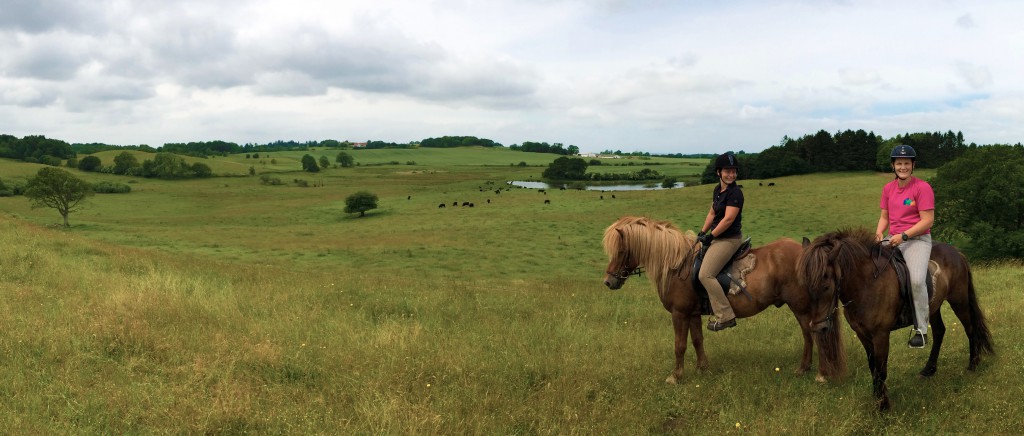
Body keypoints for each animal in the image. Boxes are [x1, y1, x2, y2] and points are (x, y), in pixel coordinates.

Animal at [598, 215, 839, 382]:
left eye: (620, 251)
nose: (608, 282)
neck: (677, 265)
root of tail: (808, 253)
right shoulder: (693, 313)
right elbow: (697, 340)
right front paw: (703, 369)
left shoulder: (679, 313)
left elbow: (679, 345)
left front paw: (675, 376)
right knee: (809, 335)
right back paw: (804, 368)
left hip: (800, 305)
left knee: (813, 334)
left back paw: (817, 373)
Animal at [798, 228, 991, 411]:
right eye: (805, 284)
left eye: (826, 285)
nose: (819, 328)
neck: (867, 284)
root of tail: (956, 252)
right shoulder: (862, 334)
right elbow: (873, 367)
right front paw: (877, 398)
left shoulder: (881, 335)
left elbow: (881, 369)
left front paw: (883, 406)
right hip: (934, 307)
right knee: (939, 332)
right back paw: (929, 369)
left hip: (959, 301)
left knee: (970, 328)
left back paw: (973, 365)